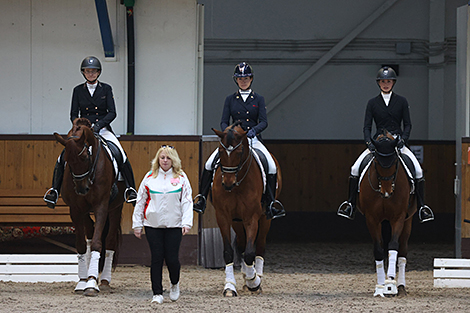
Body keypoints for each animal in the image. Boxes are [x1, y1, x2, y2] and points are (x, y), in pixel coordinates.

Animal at [53, 117, 125, 294]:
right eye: (67, 161)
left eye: (86, 157)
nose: (82, 189)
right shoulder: (76, 209)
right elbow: (81, 245)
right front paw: (82, 281)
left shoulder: (101, 206)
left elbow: (98, 243)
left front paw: (92, 283)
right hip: (85, 211)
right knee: (90, 235)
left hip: (115, 208)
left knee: (109, 240)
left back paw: (104, 280)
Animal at [211, 121, 280, 294]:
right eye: (220, 151)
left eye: (239, 151)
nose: (227, 183)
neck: (238, 184)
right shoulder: (223, 216)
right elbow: (229, 252)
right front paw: (230, 286)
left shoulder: (251, 217)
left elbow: (250, 253)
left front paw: (253, 282)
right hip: (237, 221)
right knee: (241, 244)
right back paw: (245, 274)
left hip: (265, 218)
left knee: (260, 246)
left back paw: (256, 276)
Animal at [360, 129, 414, 298]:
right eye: (376, 162)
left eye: (395, 162)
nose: (387, 192)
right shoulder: (371, 219)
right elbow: (378, 249)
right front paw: (380, 287)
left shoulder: (398, 217)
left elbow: (393, 246)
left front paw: (390, 282)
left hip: (408, 220)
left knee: (402, 251)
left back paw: (401, 286)